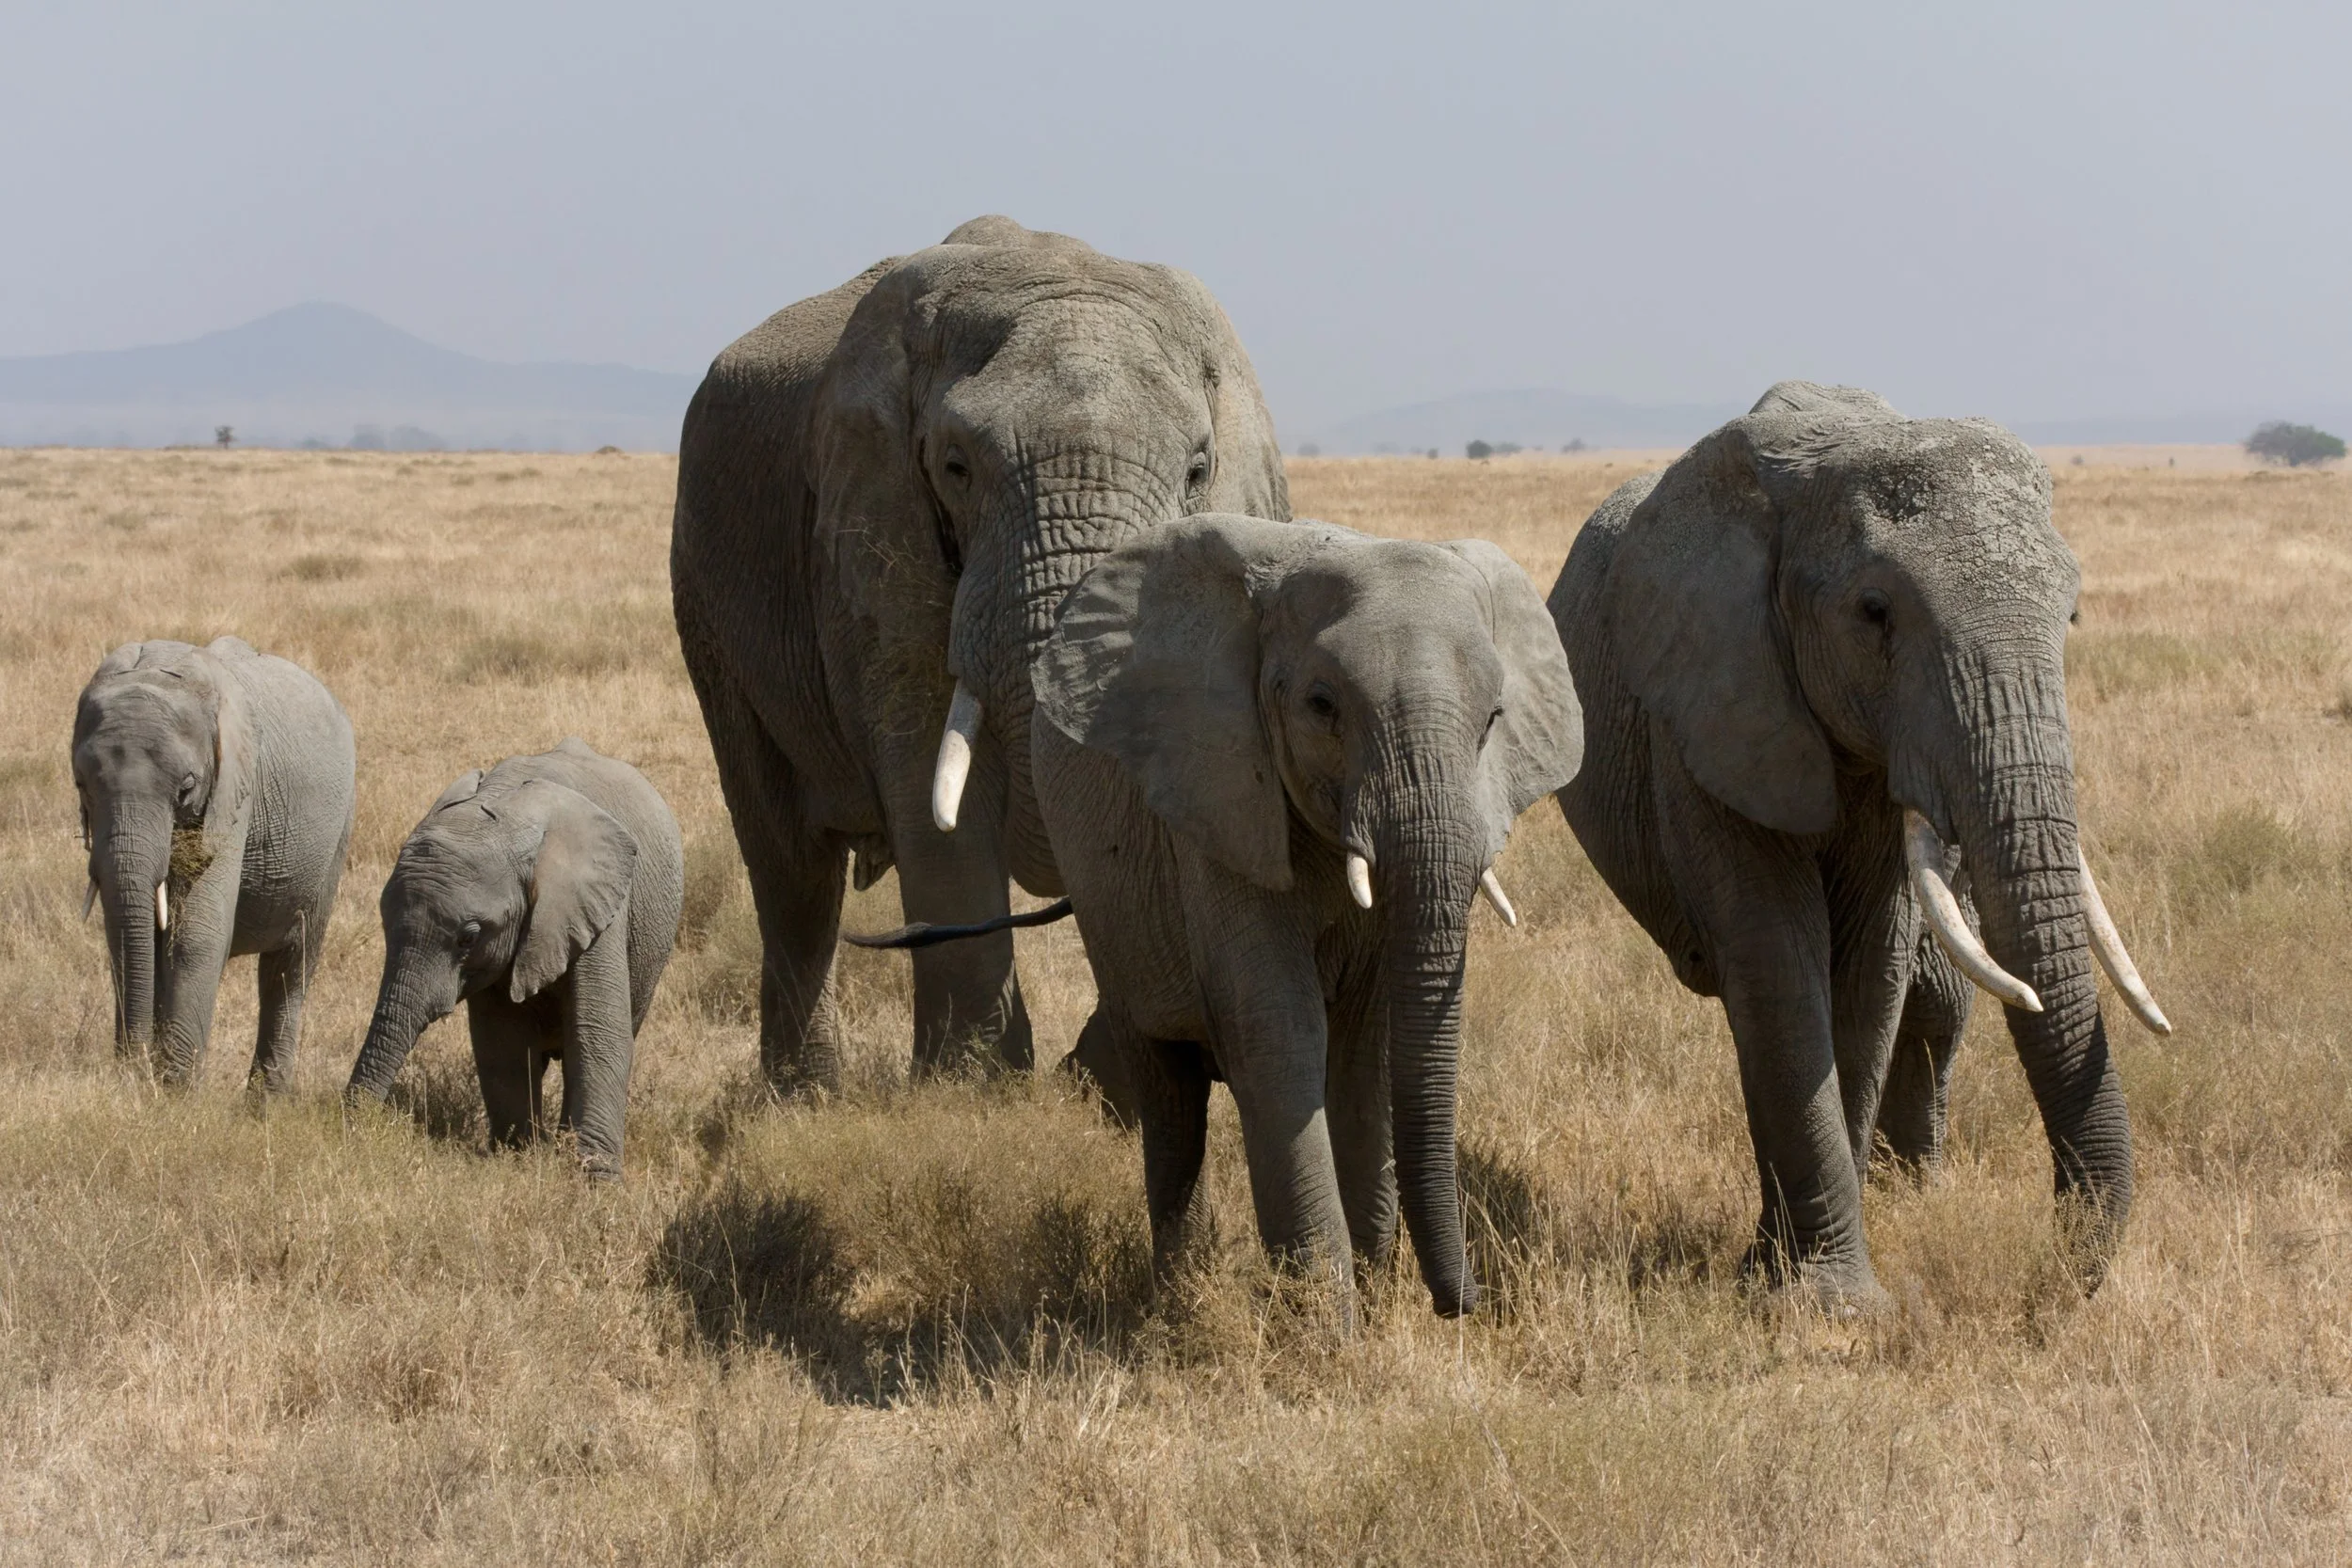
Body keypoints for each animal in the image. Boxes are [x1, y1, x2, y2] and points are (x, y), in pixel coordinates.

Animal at [72, 637, 355, 1091]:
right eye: (82, 785)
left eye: (187, 788)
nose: (132, 1067)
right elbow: (133, 934)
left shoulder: (237, 787)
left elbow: (198, 935)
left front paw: (175, 1090)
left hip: (338, 835)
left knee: (289, 969)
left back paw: (266, 1103)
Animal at [344, 739, 684, 1178]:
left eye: (468, 938)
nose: (352, 1124)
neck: (503, 808)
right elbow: (502, 1039)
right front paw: (520, 1159)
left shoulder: (597, 906)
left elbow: (598, 1032)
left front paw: (595, 1182)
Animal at [670, 215, 1287, 1095]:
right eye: (955, 466)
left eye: (1199, 469)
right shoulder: (873, 533)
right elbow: (930, 773)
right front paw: (975, 1085)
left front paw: (1104, 1080)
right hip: (707, 599)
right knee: (790, 864)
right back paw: (805, 1094)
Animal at [1023, 513, 1583, 1319]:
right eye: (1323, 706)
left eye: (1492, 721)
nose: (1469, 1303)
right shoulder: (1219, 795)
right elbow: (1280, 1031)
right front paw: (1328, 1321)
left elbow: (1364, 1048)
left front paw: (1373, 1298)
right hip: (1104, 893)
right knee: (1169, 1092)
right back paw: (1180, 1296)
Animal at [1548, 381, 2172, 1303]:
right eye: (1873, 614)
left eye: (2072, 613)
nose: (2057, 1270)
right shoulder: (1709, 712)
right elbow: (1778, 958)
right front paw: (1823, 1300)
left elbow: (1870, 965)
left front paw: (1796, 1280)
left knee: (1937, 992)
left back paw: (1907, 1185)